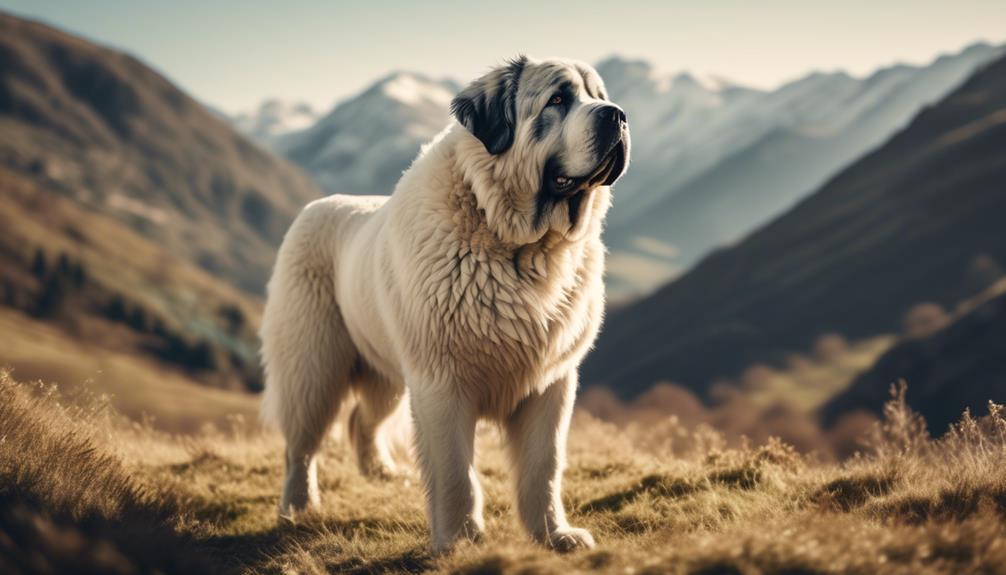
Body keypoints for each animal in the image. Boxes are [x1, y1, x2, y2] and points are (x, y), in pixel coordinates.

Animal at [259, 55, 627, 550]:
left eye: (599, 95)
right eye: (557, 99)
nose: (618, 115)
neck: (520, 245)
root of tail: (318, 205)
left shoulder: (549, 384)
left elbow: (543, 467)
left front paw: (554, 535)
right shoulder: (441, 382)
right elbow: (456, 472)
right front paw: (461, 538)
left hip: (387, 374)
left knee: (362, 420)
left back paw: (381, 472)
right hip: (313, 366)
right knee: (300, 445)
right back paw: (298, 507)